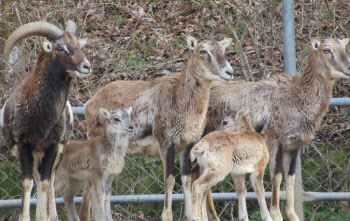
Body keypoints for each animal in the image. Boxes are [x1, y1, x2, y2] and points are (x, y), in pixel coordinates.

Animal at [0, 19, 91, 220]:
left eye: (78, 45)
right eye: (60, 48)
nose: (87, 66)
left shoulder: (53, 147)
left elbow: (46, 183)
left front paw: (44, 216)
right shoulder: (24, 146)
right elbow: (28, 182)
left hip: (55, 155)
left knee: (49, 181)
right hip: (35, 155)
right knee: (36, 177)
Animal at [83, 35, 234, 220]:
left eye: (223, 49)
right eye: (203, 51)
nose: (229, 72)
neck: (180, 102)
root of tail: (89, 104)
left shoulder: (187, 147)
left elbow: (186, 180)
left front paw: (190, 215)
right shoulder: (166, 143)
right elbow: (169, 180)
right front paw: (166, 216)